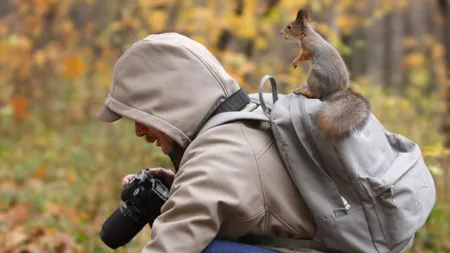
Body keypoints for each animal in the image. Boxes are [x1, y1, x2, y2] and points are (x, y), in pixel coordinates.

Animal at [280, 8, 370, 140]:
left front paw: (295, 62)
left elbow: (303, 55)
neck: (305, 34)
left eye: (289, 27)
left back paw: (304, 91)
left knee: (316, 94)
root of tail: (334, 91)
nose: (280, 33)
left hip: (314, 74)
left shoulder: (309, 48)